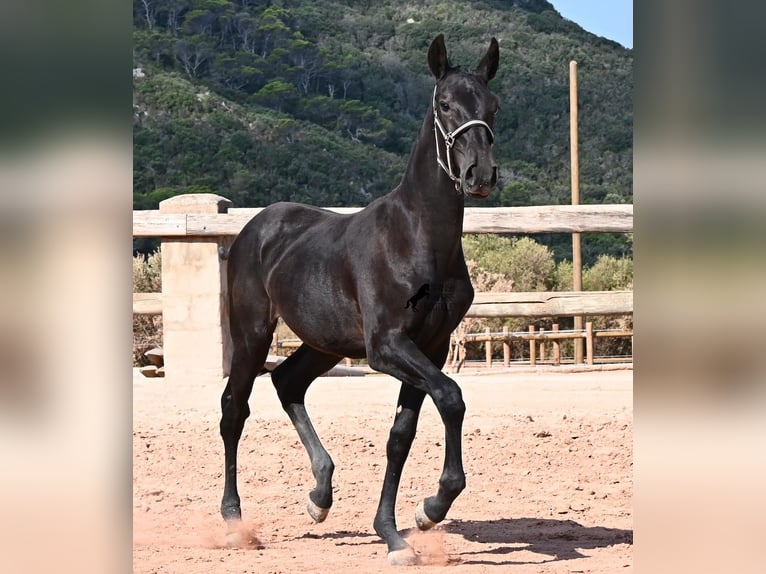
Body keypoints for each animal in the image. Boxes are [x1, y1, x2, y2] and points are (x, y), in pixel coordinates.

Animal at [220, 34, 500, 565]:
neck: (417, 238)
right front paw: (428, 509)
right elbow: (451, 398)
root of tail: (254, 228)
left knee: (287, 382)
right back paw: (233, 519)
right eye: (445, 104)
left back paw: (320, 495)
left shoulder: (430, 347)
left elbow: (401, 436)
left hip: (324, 343)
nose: (480, 174)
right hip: (252, 334)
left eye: (492, 105)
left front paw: (402, 528)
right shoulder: (386, 347)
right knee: (234, 409)